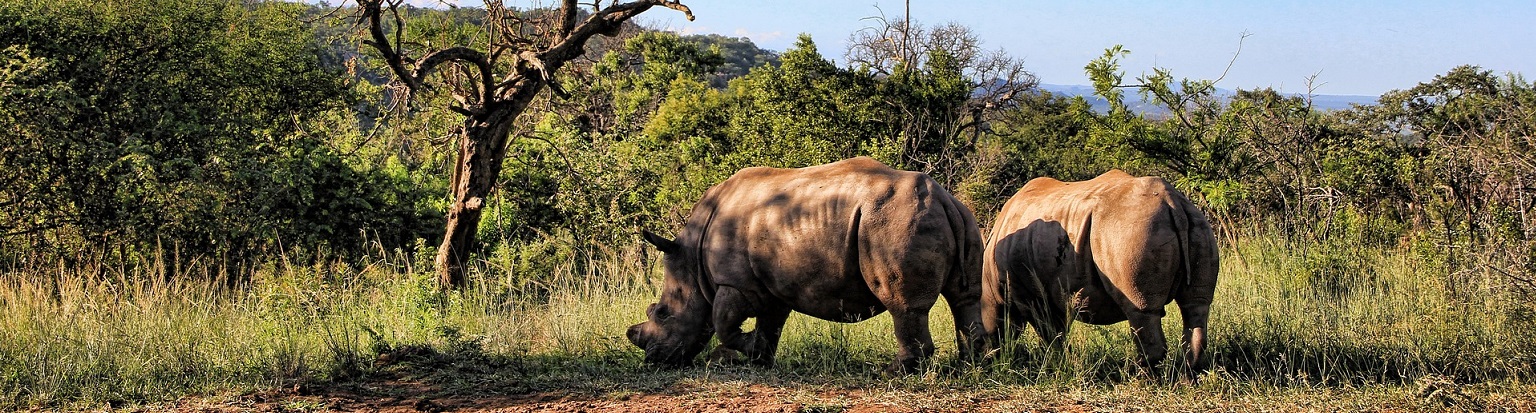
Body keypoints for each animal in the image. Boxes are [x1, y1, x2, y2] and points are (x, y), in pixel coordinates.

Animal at [623, 155, 983, 371]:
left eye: (662, 313)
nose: (654, 359)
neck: (692, 262)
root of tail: (942, 197)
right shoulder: (770, 285)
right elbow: (769, 324)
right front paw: (758, 358)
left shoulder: (733, 282)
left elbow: (722, 322)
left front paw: (739, 352)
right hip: (961, 219)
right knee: (965, 297)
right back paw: (973, 363)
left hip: (894, 221)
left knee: (904, 306)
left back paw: (895, 371)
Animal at [983, 168, 1222, 377]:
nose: (987, 358)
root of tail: (1173, 203)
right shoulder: (1052, 294)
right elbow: (1058, 332)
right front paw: (1060, 363)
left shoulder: (1032, 296)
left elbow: (1050, 334)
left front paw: (1054, 364)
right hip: (1197, 224)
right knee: (1195, 306)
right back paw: (1187, 378)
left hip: (1132, 231)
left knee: (1141, 310)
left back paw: (1142, 378)